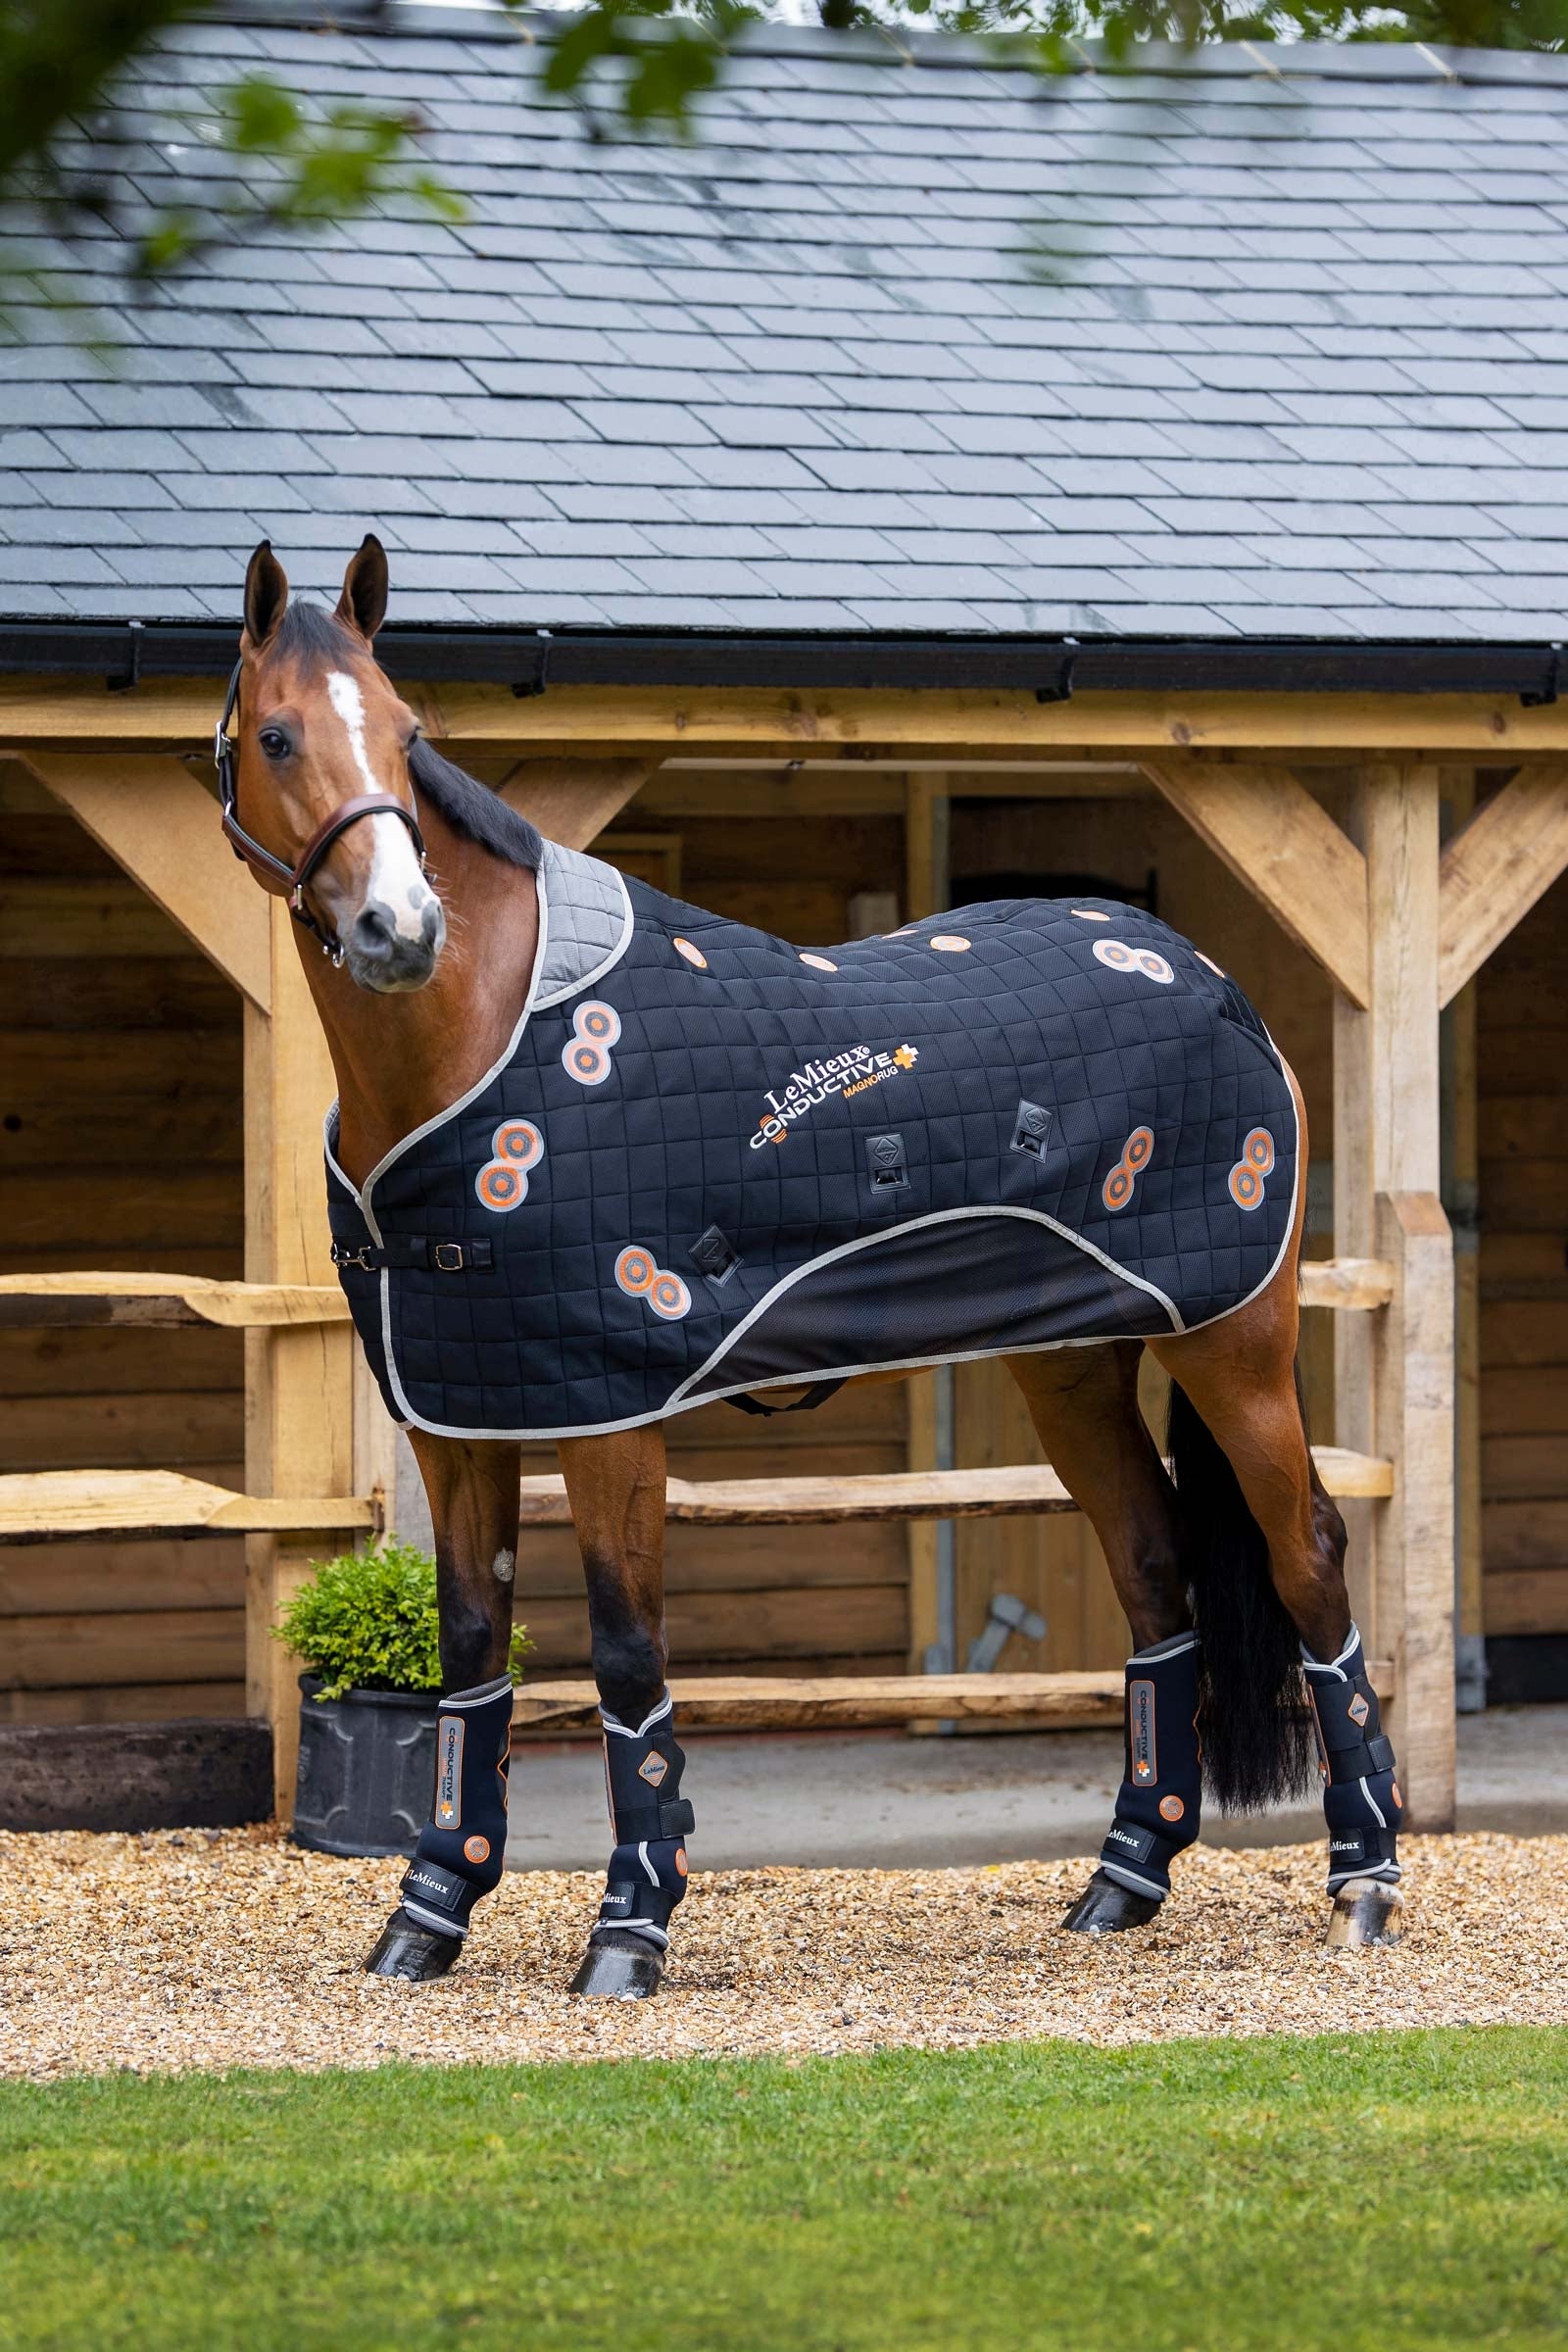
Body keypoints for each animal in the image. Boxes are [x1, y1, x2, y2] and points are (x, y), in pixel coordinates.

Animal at [220, 535, 1404, 1997]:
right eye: (278, 734)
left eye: (406, 732)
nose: (400, 927)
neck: (480, 1037)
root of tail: (1218, 984)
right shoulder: (462, 1414)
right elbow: (471, 1652)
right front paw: (428, 1911)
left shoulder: (612, 1417)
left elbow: (625, 1659)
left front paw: (629, 1932)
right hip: (1074, 1365)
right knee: (1153, 1573)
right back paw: (1122, 1883)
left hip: (1230, 1342)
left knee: (1309, 1558)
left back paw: (1364, 1883)